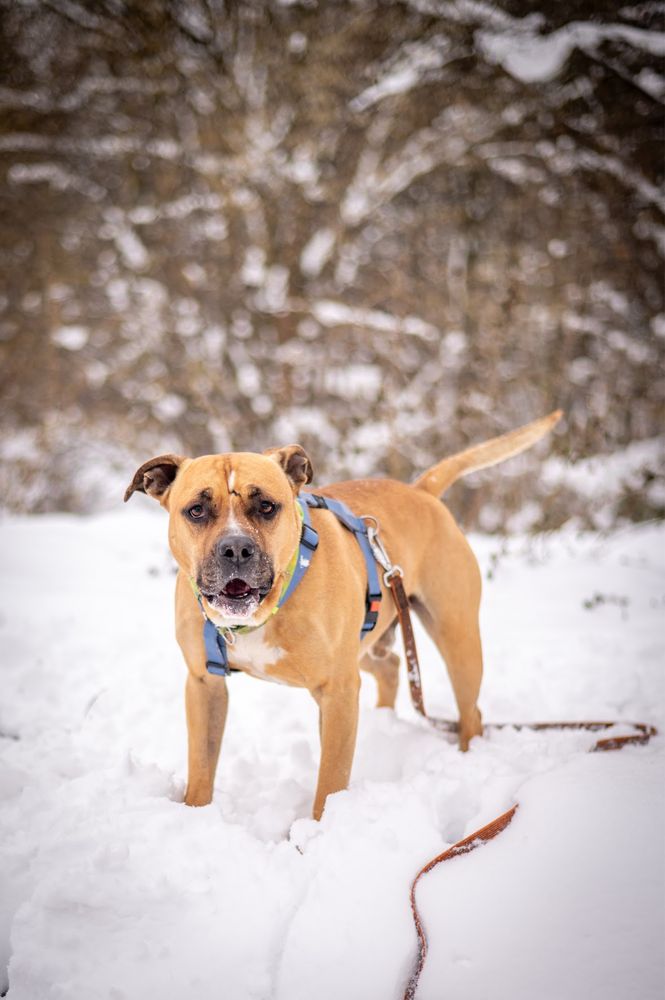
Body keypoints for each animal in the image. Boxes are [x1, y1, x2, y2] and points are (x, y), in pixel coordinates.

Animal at [124, 410, 560, 816]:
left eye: (266, 506)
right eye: (196, 510)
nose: (235, 549)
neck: (264, 610)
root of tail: (422, 492)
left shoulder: (337, 692)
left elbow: (330, 780)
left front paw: (318, 831)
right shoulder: (204, 684)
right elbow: (202, 765)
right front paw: (195, 813)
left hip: (457, 638)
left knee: (471, 712)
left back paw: (466, 758)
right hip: (365, 644)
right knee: (392, 666)